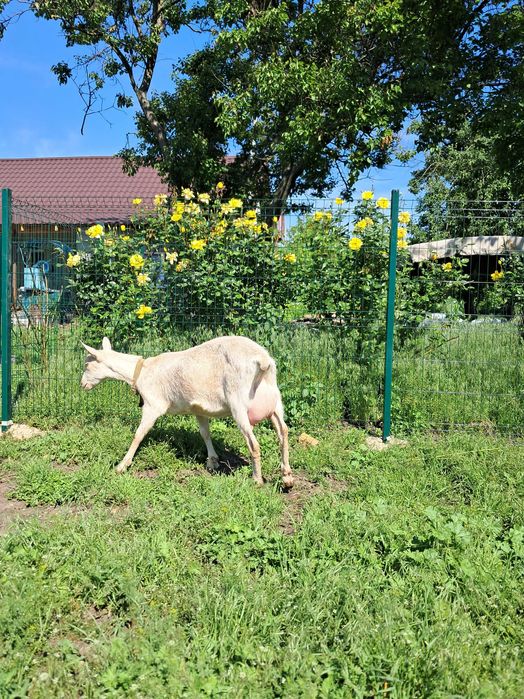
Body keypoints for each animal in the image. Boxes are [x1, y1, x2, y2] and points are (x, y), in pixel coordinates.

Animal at [80, 336, 294, 488]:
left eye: (87, 364)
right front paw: (212, 461)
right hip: (276, 402)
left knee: (253, 443)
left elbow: (139, 434)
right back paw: (287, 477)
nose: (82, 385)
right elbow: (205, 433)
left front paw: (122, 465)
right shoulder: (200, 408)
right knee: (283, 431)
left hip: (238, 402)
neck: (141, 372)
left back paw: (257, 479)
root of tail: (263, 361)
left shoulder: (153, 404)